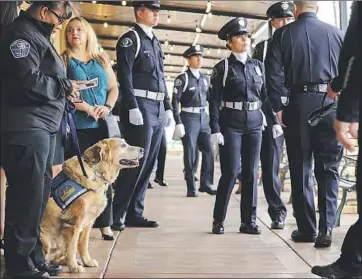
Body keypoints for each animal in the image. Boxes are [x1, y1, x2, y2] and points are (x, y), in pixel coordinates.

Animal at [38, 138, 143, 274]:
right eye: (123, 145)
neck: (97, 173)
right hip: (45, 239)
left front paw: (86, 261)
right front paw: (74, 267)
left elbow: (83, 245)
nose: (143, 149)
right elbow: (72, 247)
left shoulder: (88, 222)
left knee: (54, 258)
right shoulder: (74, 223)